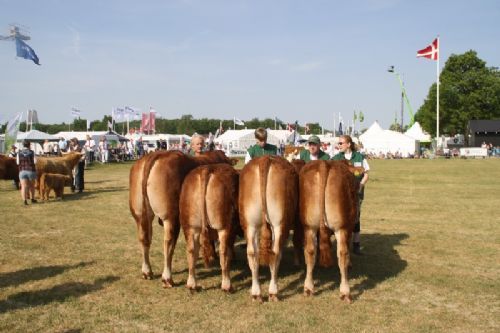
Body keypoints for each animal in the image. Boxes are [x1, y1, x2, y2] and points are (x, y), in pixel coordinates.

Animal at [127, 148, 232, 286]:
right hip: (171, 217)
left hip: (140, 214)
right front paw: (213, 256)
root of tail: (155, 154)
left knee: (144, 238)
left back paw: (147, 271)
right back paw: (167, 278)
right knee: (168, 242)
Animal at [238, 156, 296, 300]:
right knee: (275, 252)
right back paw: (273, 292)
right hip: (279, 223)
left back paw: (256, 293)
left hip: (250, 224)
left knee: (252, 253)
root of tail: (264, 159)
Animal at [298, 160, 362, 302]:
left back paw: (308, 288)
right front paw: (350, 263)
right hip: (341, 228)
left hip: (309, 226)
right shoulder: (349, 227)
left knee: (310, 251)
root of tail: (324, 164)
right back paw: (345, 292)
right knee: (342, 253)